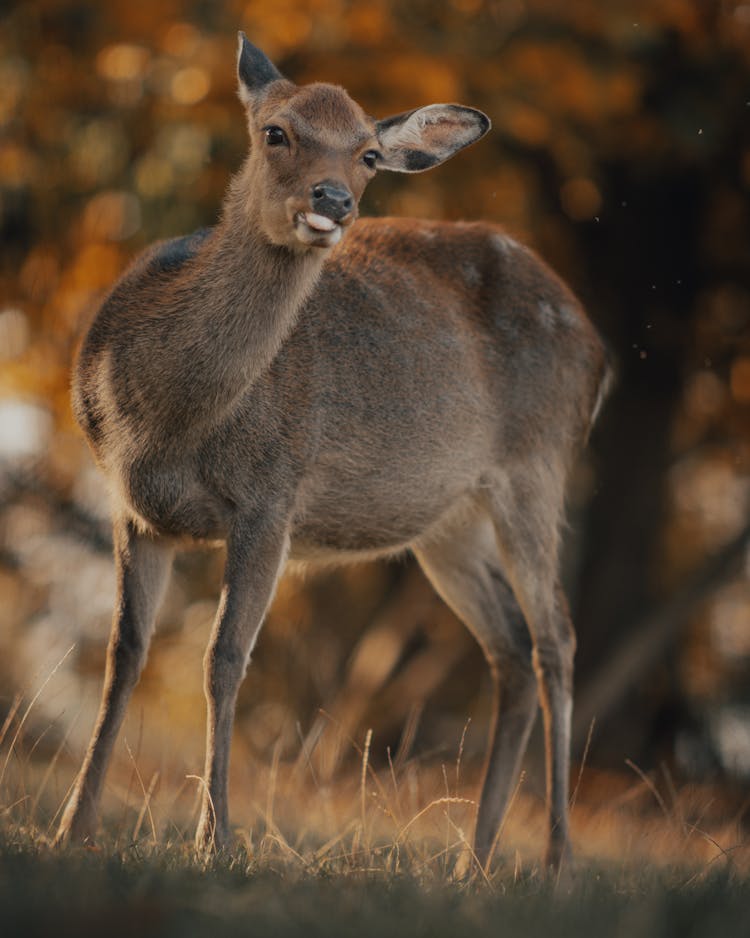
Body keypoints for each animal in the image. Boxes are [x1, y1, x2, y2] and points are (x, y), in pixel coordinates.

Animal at [57, 31, 612, 876]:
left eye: (369, 155)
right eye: (276, 132)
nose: (334, 201)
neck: (167, 420)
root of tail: (598, 350)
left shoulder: (272, 498)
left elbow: (224, 656)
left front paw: (215, 840)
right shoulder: (131, 508)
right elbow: (125, 654)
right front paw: (72, 828)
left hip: (538, 468)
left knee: (557, 639)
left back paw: (555, 861)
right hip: (446, 522)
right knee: (512, 648)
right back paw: (474, 861)